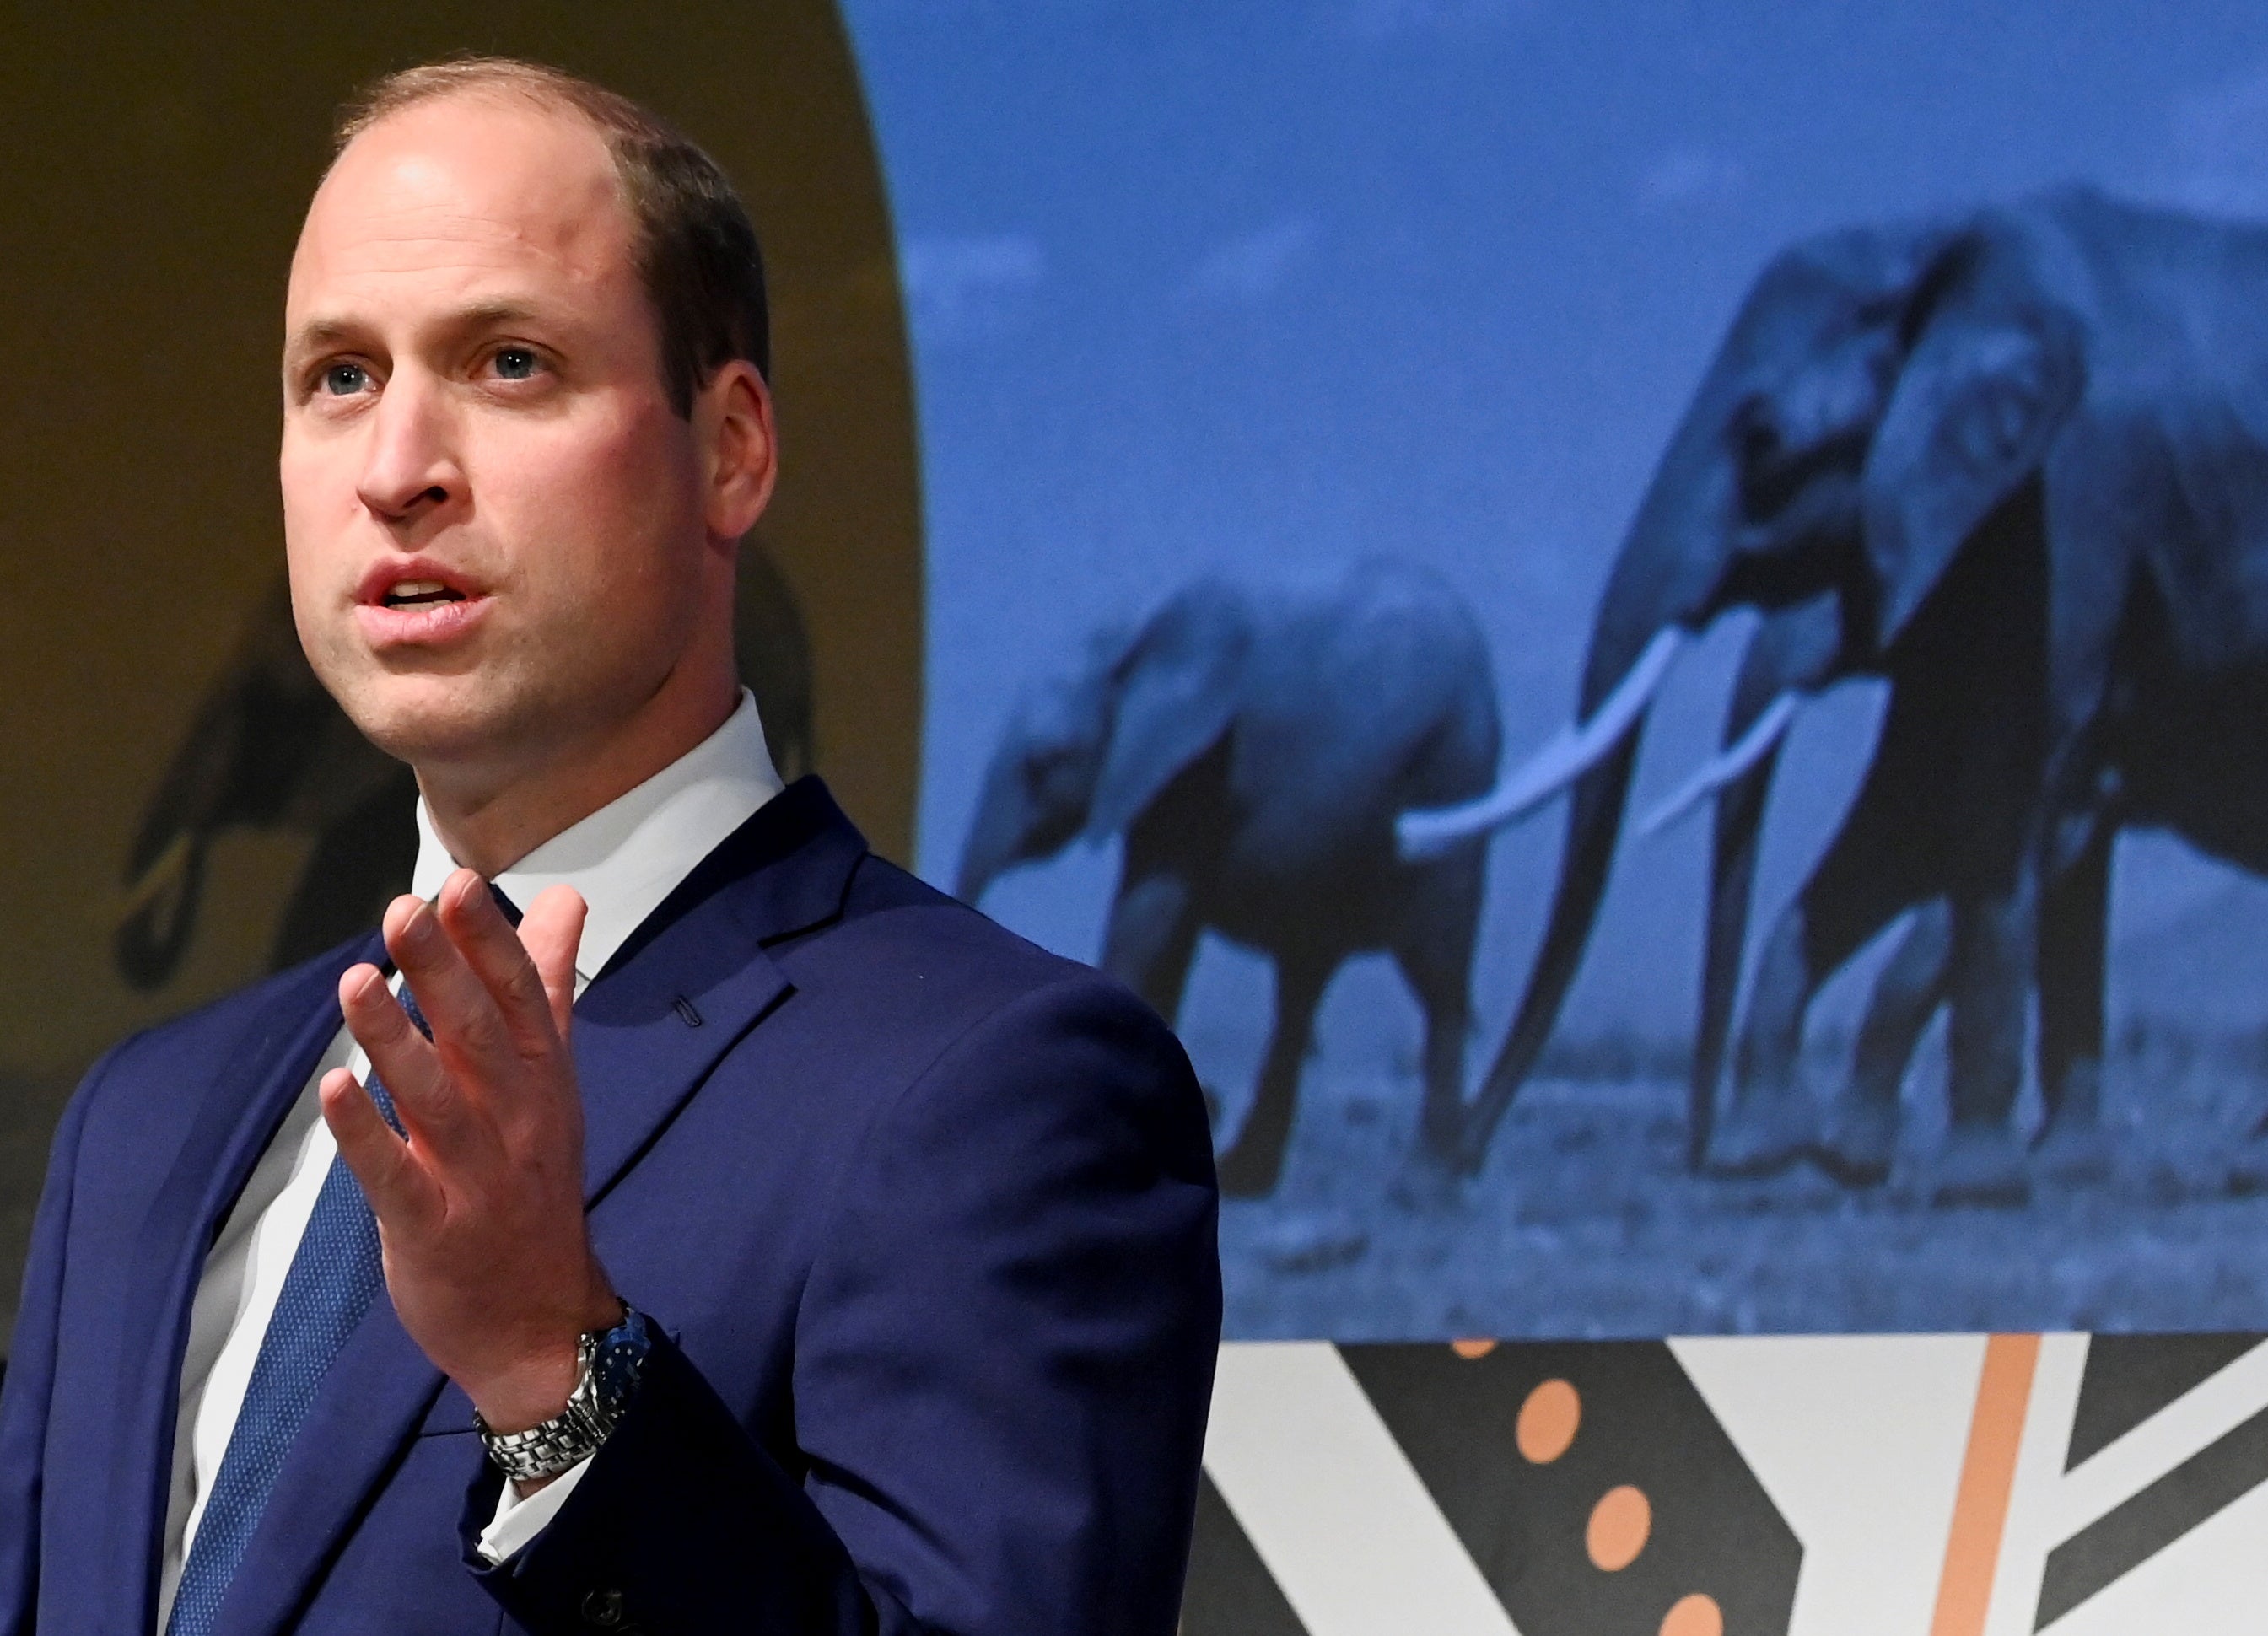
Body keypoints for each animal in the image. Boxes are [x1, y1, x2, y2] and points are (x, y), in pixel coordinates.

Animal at [956, 562, 1506, 1197]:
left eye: (1044, 763)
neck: (1131, 640)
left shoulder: (1198, 767)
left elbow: (1150, 915)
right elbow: (1169, 931)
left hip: (1452, 784)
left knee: (1437, 980)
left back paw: (1422, 1186)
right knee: (1300, 990)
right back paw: (1250, 1176)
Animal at [1397, 188, 2268, 1197]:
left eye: (1763, 441)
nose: (1459, 1160)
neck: (1944, 244)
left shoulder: (2079, 506)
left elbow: (2011, 817)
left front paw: (1939, 1179)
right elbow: (1902, 819)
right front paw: (1774, 1152)